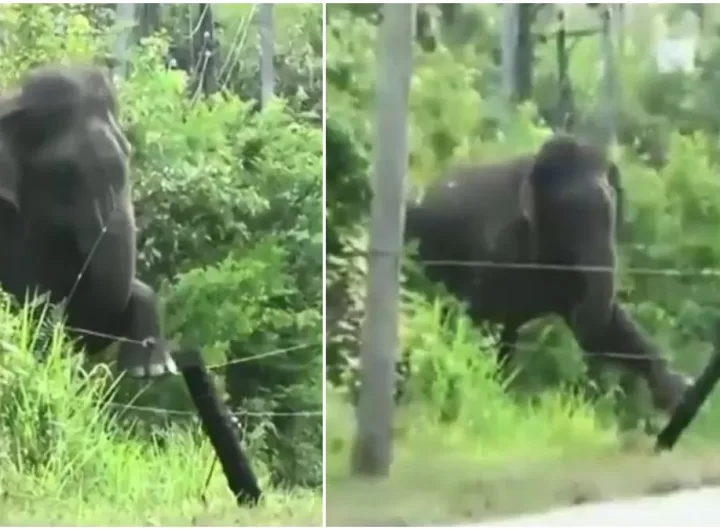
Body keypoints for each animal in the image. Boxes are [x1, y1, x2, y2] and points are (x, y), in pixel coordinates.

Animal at [404, 133, 692, 412]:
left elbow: (605, 332)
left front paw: (676, 392)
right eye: (570, 216)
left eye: (611, 213)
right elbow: (477, 319)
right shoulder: (497, 250)